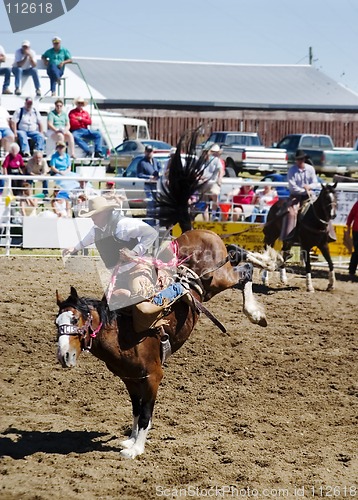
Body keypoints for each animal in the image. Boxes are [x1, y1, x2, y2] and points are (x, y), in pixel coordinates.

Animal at [56, 229, 268, 458]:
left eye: (75, 320)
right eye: (56, 323)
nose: (64, 356)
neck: (123, 335)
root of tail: (206, 231)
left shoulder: (153, 377)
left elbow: (145, 413)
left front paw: (136, 449)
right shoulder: (130, 379)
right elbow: (136, 410)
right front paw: (131, 440)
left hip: (220, 277)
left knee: (245, 271)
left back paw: (255, 312)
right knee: (239, 256)